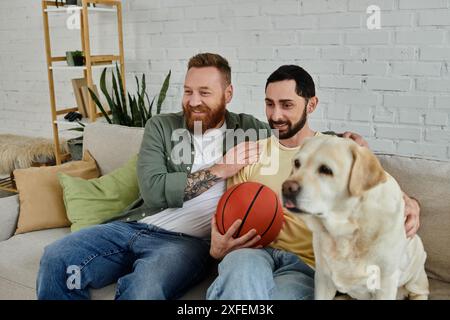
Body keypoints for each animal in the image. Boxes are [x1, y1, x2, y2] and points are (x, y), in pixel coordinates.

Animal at [282, 135, 428, 300]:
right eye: (297, 163)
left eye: (326, 170)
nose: (286, 188)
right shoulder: (322, 277)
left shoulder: (385, 283)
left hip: (417, 269)